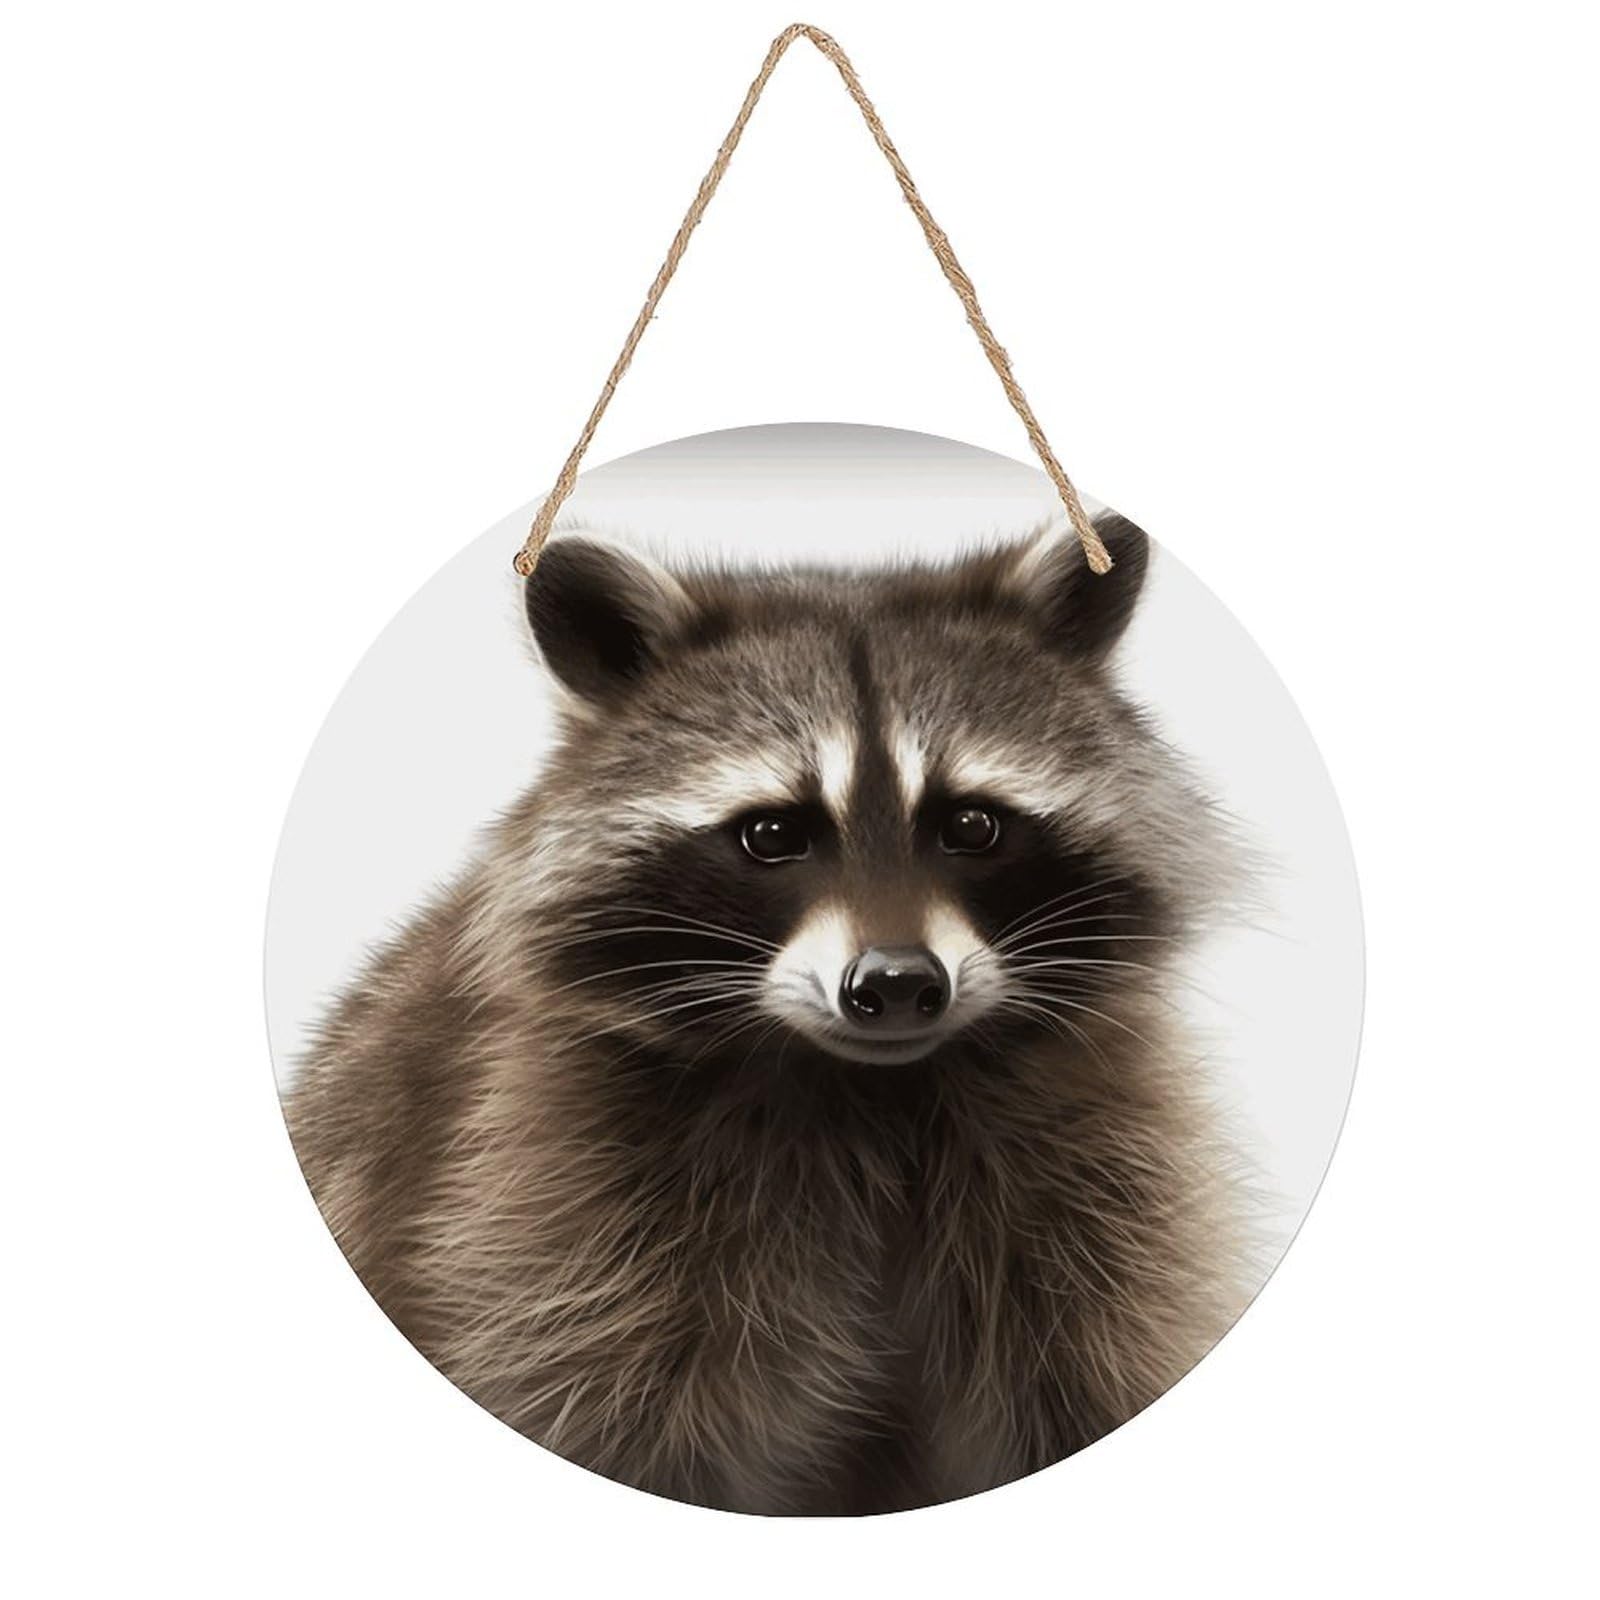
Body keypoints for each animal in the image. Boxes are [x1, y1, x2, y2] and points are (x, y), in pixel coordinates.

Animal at [284, 511, 1253, 1515]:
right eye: (774, 834)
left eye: (972, 825)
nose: (896, 983)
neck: (875, 1092)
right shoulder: (542, 1191)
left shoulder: (1095, 1165)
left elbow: (1099, 1366)